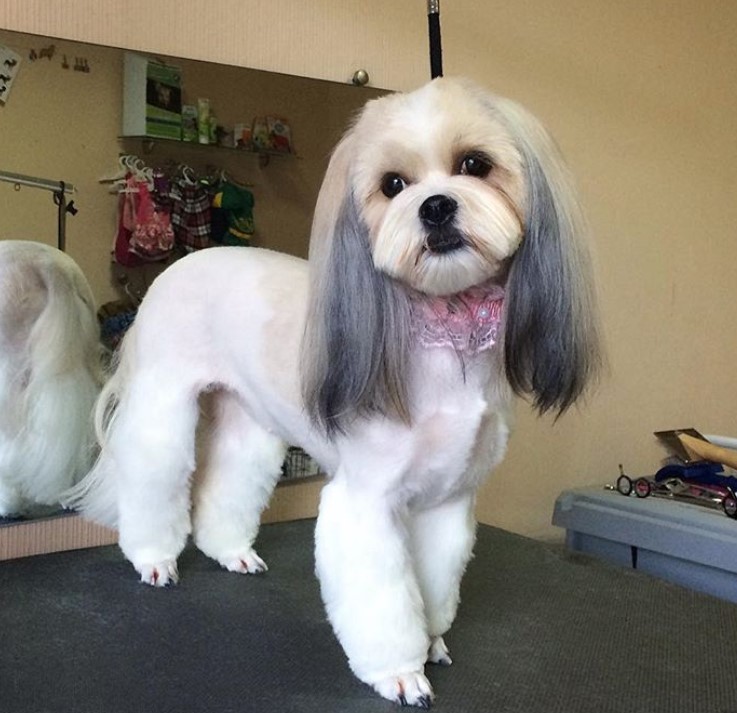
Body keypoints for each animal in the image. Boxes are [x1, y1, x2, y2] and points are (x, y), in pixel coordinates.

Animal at [64, 78, 600, 708]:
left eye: (475, 164)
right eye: (393, 185)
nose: (436, 206)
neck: (446, 333)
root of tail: (182, 262)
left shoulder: (447, 499)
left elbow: (433, 583)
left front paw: (431, 641)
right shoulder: (366, 499)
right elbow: (384, 599)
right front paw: (400, 671)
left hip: (251, 420)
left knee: (232, 477)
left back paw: (231, 551)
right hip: (163, 402)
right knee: (155, 473)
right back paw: (152, 558)